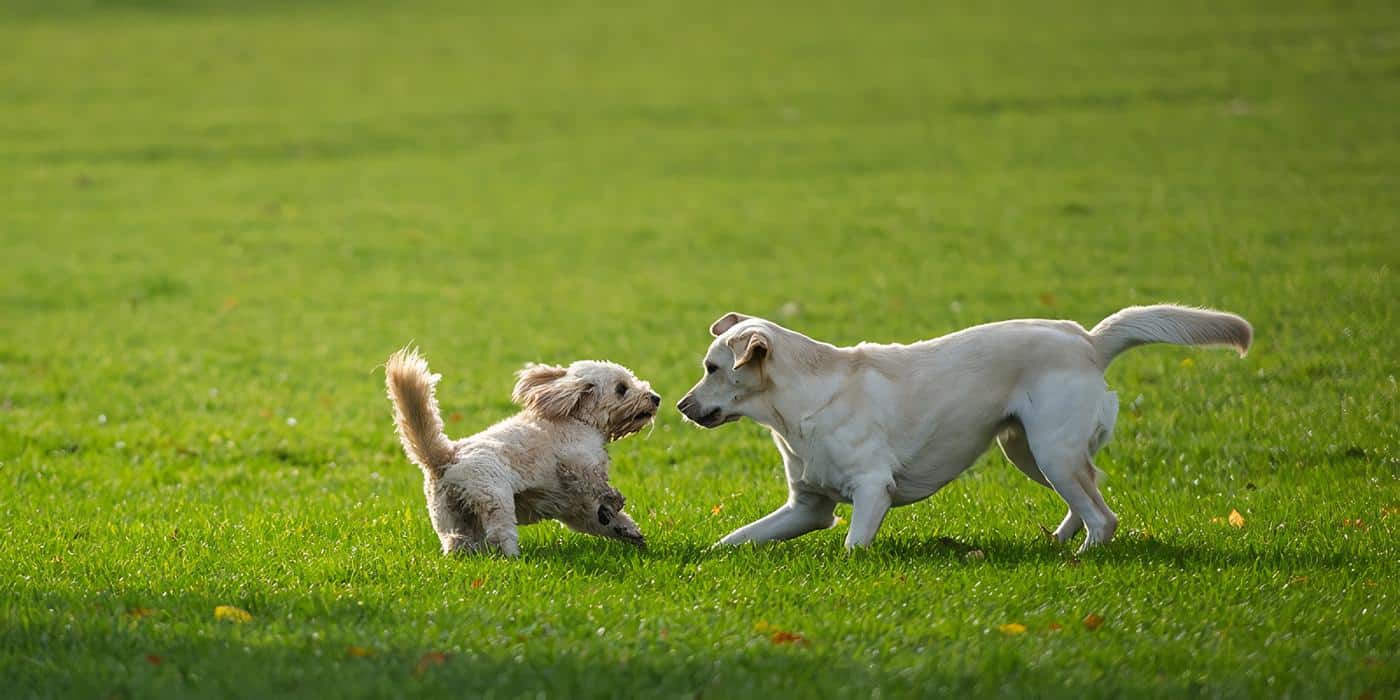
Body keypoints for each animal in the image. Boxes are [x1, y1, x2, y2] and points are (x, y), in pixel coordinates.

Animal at [383, 347, 655, 554]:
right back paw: (513, 558)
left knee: (456, 542)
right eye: (621, 388)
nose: (655, 397)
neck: (577, 418)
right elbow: (600, 485)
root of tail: (447, 457)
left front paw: (628, 530)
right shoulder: (577, 462)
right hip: (495, 500)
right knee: (499, 537)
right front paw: (615, 502)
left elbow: (599, 516)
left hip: (450, 516)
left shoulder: (575, 507)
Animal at [672, 305, 1254, 551]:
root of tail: (1087, 339)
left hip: (1052, 450)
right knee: (1087, 499)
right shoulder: (806, 508)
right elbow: (733, 540)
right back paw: (1058, 541)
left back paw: (1081, 557)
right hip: (1028, 451)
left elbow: (853, 546)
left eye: (713, 368)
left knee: (1104, 517)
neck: (797, 405)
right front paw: (704, 560)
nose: (677, 405)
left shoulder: (872, 491)